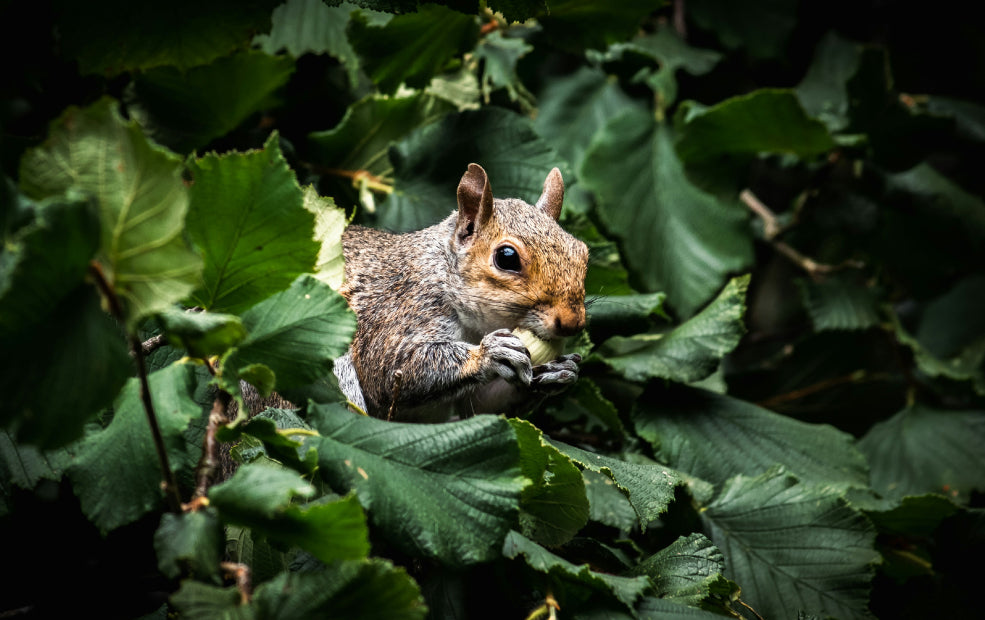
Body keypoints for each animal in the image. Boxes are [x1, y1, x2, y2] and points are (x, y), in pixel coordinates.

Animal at [334, 162, 588, 422]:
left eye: (583, 252)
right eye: (506, 257)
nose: (572, 323)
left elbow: (480, 408)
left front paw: (557, 371)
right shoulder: (399, 310)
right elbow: (389, 368)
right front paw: (487, 356)